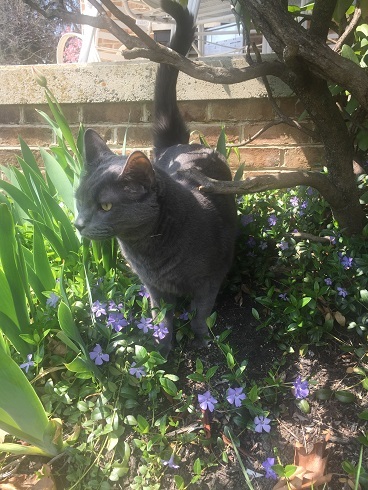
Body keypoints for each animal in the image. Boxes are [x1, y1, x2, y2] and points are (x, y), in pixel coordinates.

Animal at [73, 0, 237, 354]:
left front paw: (204, 342)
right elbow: (162, 315)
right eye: (79, 201)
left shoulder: (211, 277)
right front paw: (162, 348)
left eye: (106, 206)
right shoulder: (152, 286)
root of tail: (179, 144)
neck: (147, 249)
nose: (78, 224)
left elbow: (200, 312)